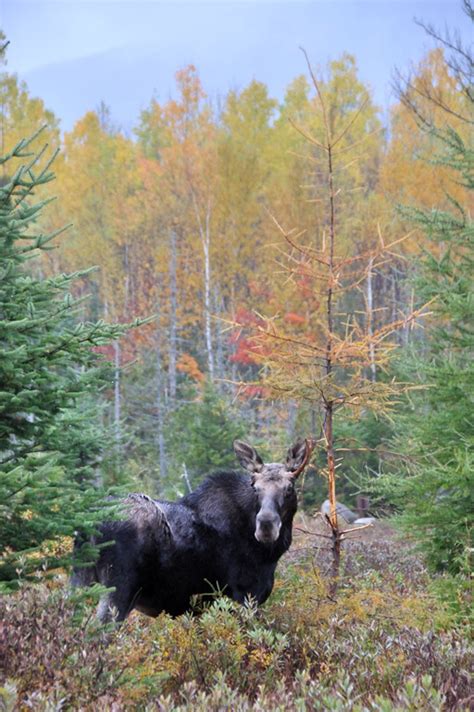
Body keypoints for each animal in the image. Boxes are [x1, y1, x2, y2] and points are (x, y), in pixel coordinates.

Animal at [72, 436, 312, 620]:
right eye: (255, 488)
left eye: (289, 488)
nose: (266, 526)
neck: (269, 555)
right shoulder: (244, 595)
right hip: (119, 588)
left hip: (80, 580)